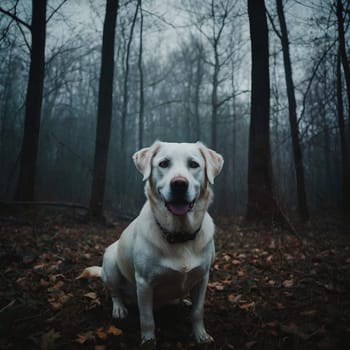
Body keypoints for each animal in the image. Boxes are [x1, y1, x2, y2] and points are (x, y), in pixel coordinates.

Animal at [81, 141, 223, 346]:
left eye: (194, 164)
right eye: (163, 164)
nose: (179, 184)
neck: (179, 234)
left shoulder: (203, 277)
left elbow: (198, 311)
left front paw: (201, 335)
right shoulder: (144, 283)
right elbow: (147, 318)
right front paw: (148, 341)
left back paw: (183, 301)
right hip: (110, 262)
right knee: (115, 292)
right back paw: (119, 308)